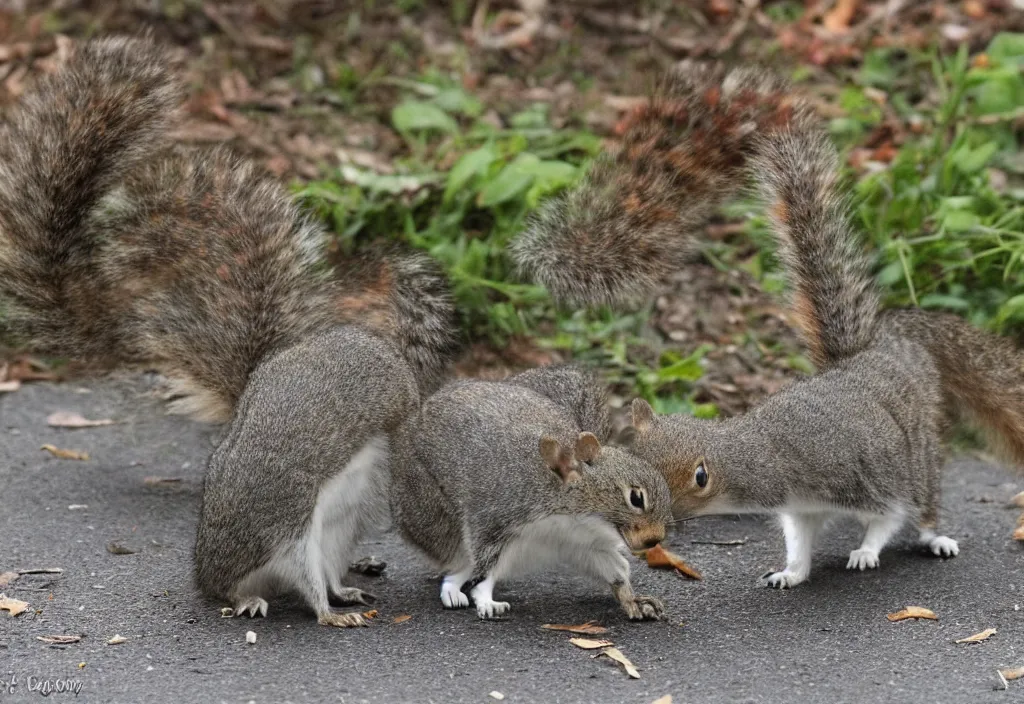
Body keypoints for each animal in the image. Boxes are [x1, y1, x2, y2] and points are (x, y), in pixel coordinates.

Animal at [0, 37, 460, 626]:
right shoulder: (283, 513)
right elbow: (301, 568)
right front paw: (325, 612)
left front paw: (338, 597)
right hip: (260, 539)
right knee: (240, 581)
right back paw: (251, 598)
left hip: (342, 522)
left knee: (327, 561)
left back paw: (343, 588)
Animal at [389, 366, 671, 618]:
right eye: (636, 498)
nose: (655, 540)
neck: (570, 518)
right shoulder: (497, 519)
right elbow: (485, 571)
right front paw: (486, 601)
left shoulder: (583, 544)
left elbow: (615, 569)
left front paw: (632, 599)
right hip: (431, 515)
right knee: (459, 566)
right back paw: (452, 590)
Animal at [512, 61, 1024, 589]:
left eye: (657, 491)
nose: (653, 536)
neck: (765, 454)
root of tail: (885, 345)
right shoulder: (801, 507)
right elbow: (799, 538)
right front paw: (790, 572)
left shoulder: (868, 478)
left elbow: (887, 517)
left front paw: (865, 551)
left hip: (917, 448)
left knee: (924, 500)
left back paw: (935, 537)